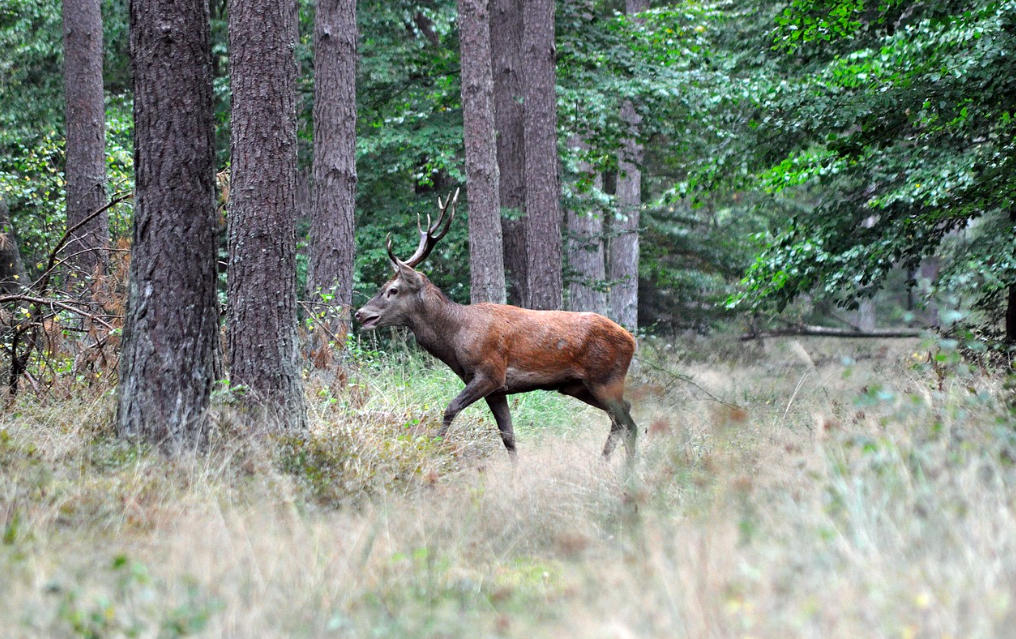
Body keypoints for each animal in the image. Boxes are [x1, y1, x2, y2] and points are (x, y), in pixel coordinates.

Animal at [357, 188, 638, 463]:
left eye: (393, 290)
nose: (360, 314)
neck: (455, 338)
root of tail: (632, 340)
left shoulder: (490, 371)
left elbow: (450, 408)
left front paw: (434, 450)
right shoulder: (496, 388)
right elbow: (508, 436)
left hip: (605, 378)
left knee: (627, 421)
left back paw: (625, 468)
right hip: (578, 385)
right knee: (622, 415)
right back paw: (607, 462)